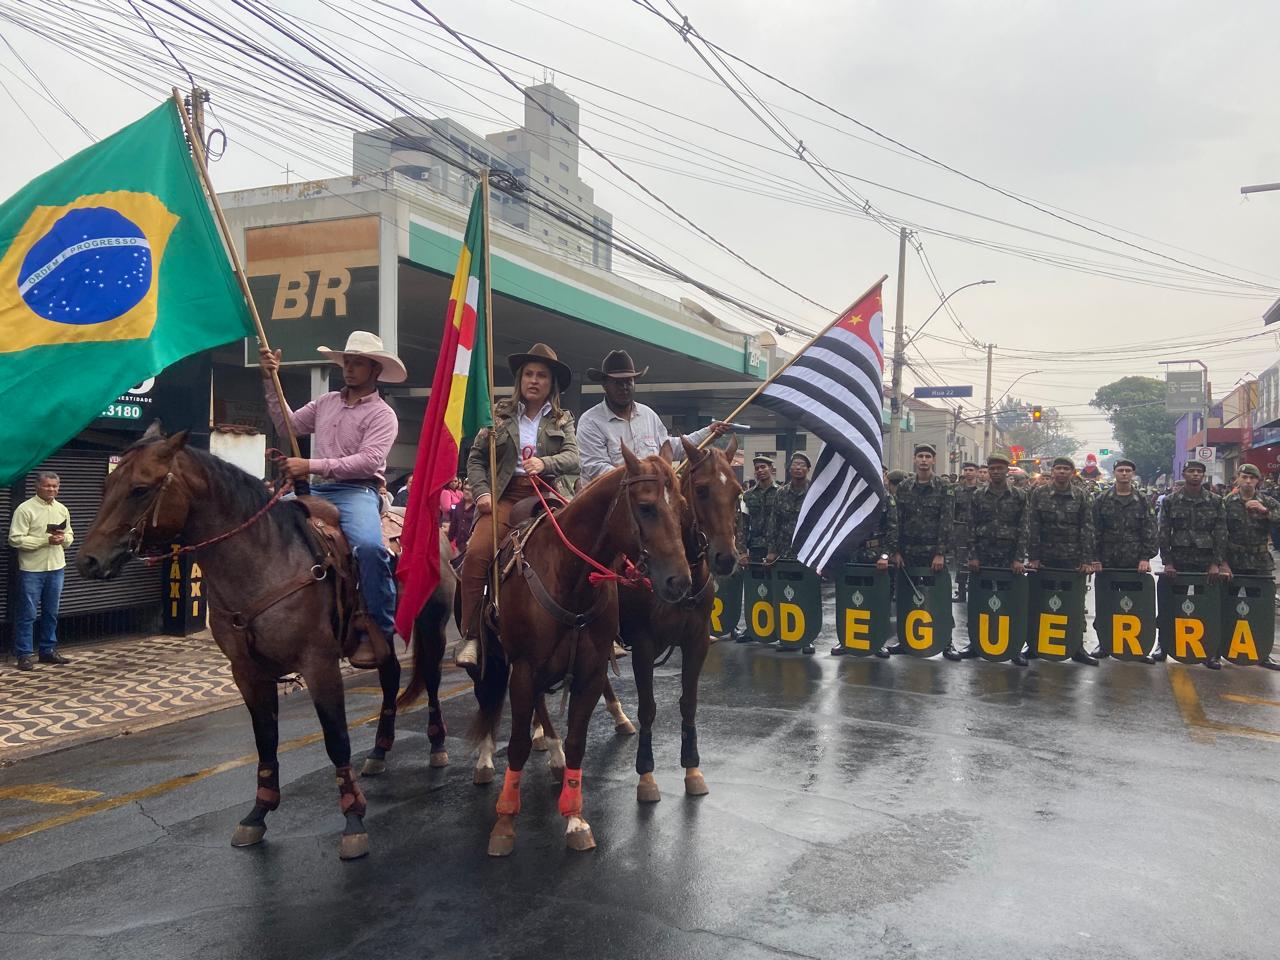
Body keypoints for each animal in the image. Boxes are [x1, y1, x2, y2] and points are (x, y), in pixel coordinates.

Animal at [74, 424, 448, 860]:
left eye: (139, 489)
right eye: (106, 485)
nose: (88, 561)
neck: (264, 560)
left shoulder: (318, 663)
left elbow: (336, 737)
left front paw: (353, 819)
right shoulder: (247, 672)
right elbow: (266, 740)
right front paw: (258, 814)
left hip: (433, 627)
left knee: (432, 680)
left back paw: (437, 745)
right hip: (382, 638)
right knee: (389, 681)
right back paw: (379, 751)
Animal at [468, 448, 691, 860]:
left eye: (682, 505)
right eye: (646, 507)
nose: (679, 581)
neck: (568, 576)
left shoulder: (589, 671)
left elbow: (576, 742)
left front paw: (575, 819)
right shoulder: (523, 667)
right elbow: (518, 744)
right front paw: (504, 822)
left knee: (540, 705)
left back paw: (553, 754)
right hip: (495, 656)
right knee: (487, 696)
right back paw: (486, 758)